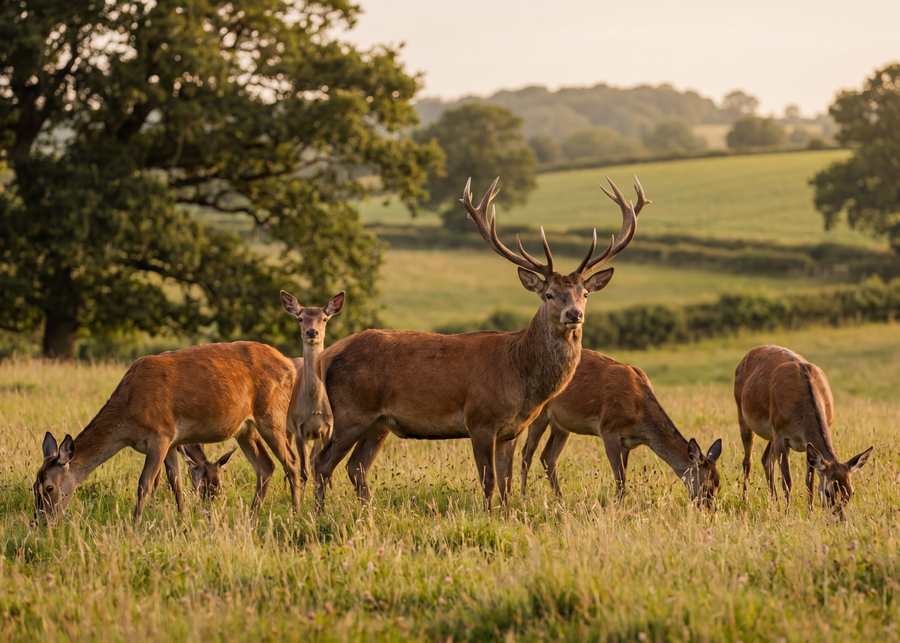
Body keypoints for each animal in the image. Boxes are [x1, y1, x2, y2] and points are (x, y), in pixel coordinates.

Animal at [33, 341, 301, 522]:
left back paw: (296, 513)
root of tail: (290, 364)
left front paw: (135, 523)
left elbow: (145, 483)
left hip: (272, 415)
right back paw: (253, 516)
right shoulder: (172, 442)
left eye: (50, 488)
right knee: (266, 465)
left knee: (291, 460)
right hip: (244, 428)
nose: (40, 522)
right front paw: (182, 517)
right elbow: (176, 482)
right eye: (34, 486)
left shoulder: (160, 435)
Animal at [280, 290, 345, 485]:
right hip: (285, 424)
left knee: (313, 460)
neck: (315, 407)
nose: (311, 331)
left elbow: (325, 469)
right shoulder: (299, 428)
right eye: (300, 318)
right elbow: (303, 472)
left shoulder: (328, 428)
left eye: (324, 319)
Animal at [311, 175, 649, 512]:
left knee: (356, 466)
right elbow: (488, 481)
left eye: (585, 293)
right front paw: (488, 516)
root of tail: (326, 358)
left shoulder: (511, 431)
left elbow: (506, 483)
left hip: (378, 422)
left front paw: (509, 516)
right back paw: (319, 514)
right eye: (549, 294)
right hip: (350, 411)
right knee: (322, 462)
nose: (574, 314)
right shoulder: (480, 420)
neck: (521, 380)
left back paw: (365, 511)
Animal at [520, 349, 723, 508]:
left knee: (547, 456)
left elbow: (623, 476)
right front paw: (615, 507)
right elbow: (620, 477)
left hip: (562, 425)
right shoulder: (608, 429)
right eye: (706, 486)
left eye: (719, 486)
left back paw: (560, 500)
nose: (708, 510)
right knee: (526, 453)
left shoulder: (627, 443)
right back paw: (523, 497)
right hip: (538, 412)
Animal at [734, 344, 873, 520]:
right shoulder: (781, 435)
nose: (839, 518)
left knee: (766, 459)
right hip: (743, 415)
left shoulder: (807, 444)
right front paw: (787, 513)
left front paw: (810, 513)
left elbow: (809, 482)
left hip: (771, 433)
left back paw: (774, 502)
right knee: (748, 462)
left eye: (851, 492)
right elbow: (787, 480)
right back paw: (745, 501)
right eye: (828, 492)